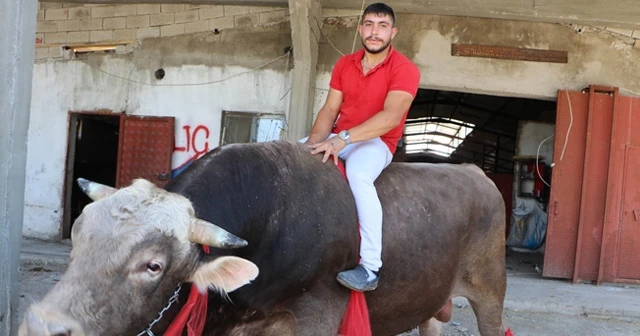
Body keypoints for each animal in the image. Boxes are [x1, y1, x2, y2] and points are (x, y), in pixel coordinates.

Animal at [20, 142, 508, 336]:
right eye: (78, 234)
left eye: (153, 265)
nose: (41, 326)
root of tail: (473, 172)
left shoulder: (318, 320)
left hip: (490, 291)